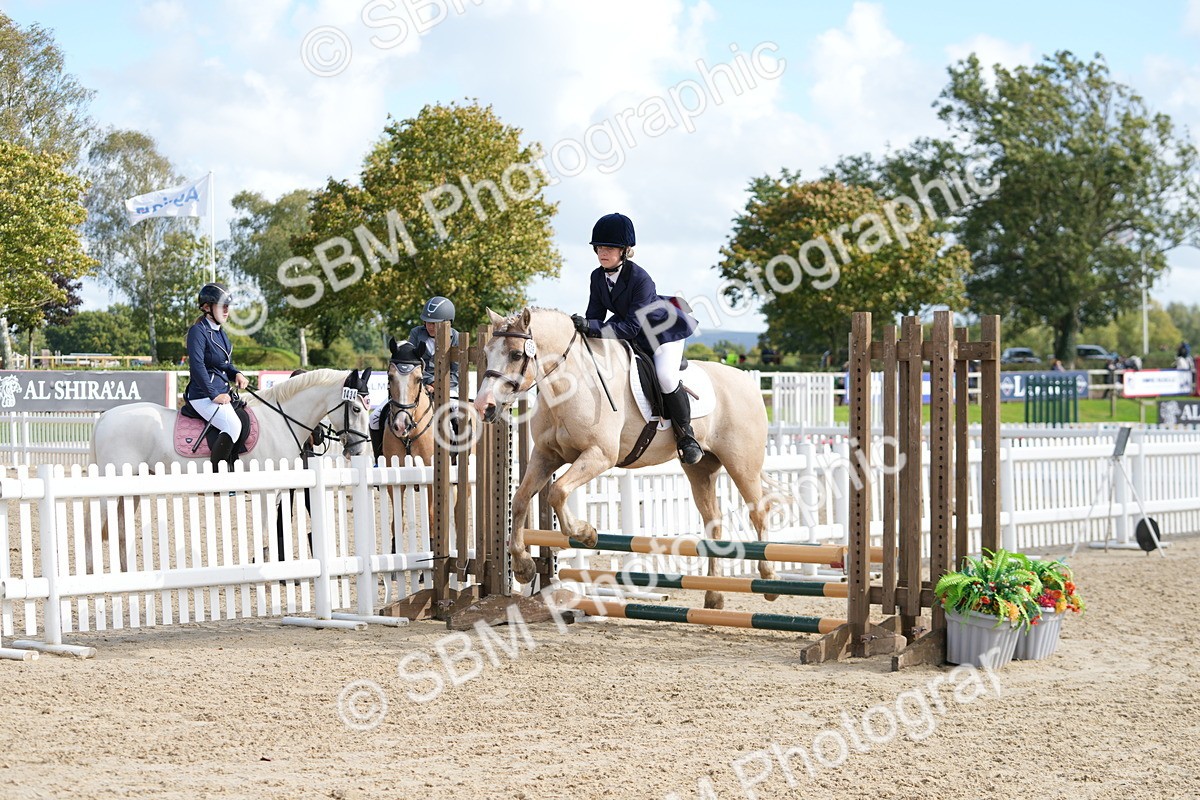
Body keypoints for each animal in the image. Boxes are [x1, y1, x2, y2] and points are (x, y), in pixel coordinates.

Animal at [87, 368, 373, 571]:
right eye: (356, 408)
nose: (359, 451)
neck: (279, 420)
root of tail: (105, 417)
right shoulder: (265, 491)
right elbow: (264, 528)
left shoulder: (278, 490)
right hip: (110, 487)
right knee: (95, 524)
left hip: (132, 486)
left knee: (120, 526)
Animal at [474, 307, 777, 609]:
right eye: (486, 353)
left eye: (516, 354)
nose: (483, 407)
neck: (570, 383)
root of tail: (747, 381)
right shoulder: (546, 456)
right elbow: (520, 500)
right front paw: (523, 567)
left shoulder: (599, 455)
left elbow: (557, 492)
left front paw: (586, 533)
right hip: (701, 466)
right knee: (713, 520)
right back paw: (713, 596)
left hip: (742, 464)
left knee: (759, 511)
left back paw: (769, 580)